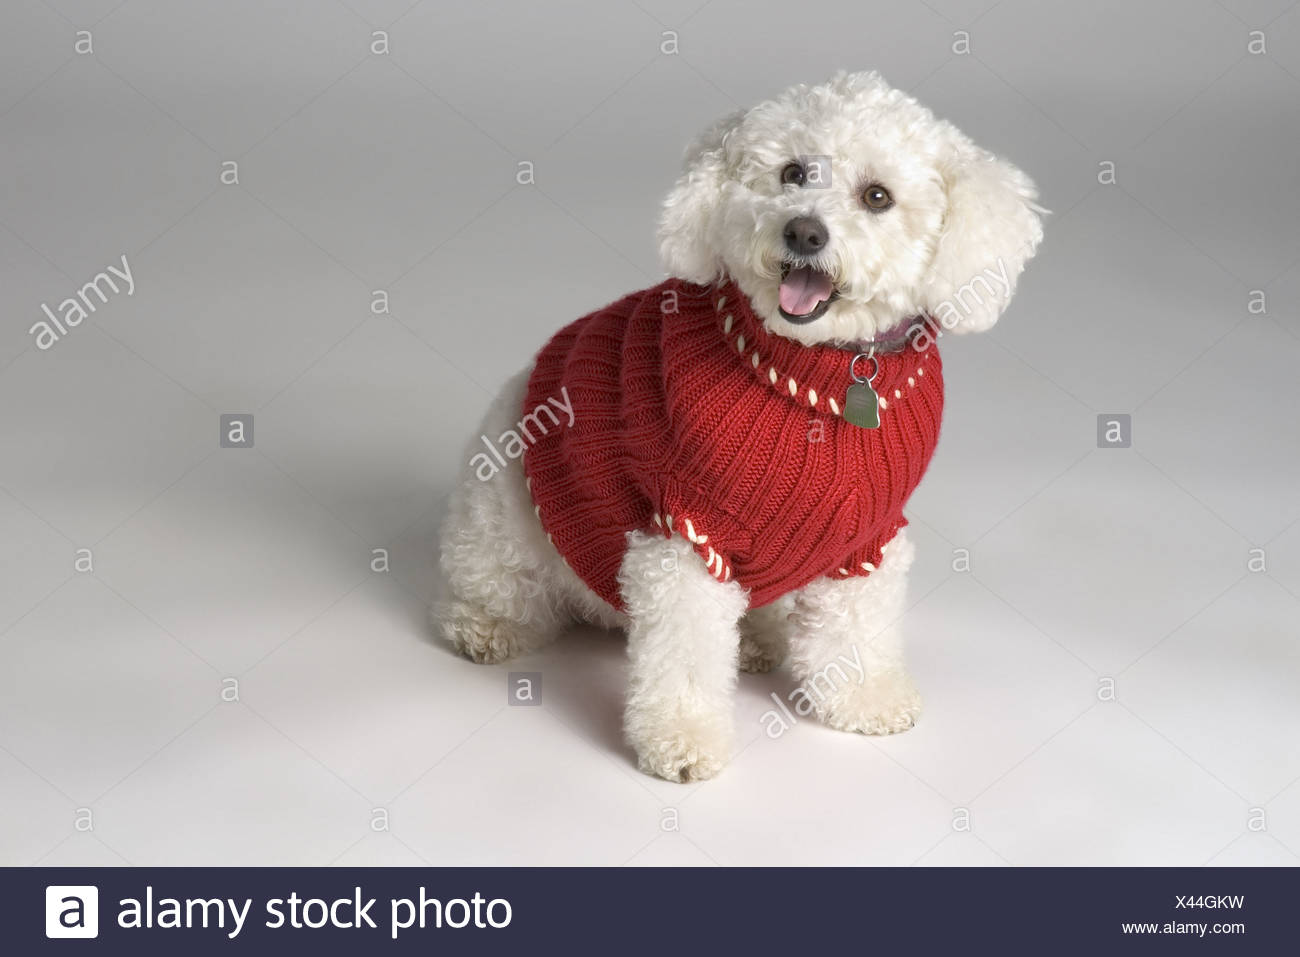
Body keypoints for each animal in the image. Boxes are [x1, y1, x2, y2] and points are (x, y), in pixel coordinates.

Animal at [436, 70, 1045, 780]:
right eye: (793, 173)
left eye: (877, 196)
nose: (804, 232)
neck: (826, 374)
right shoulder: (686, 537)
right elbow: (686, 659)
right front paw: (682, 737)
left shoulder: (867, 536)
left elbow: (858, 628)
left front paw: (865, 697)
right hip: (501, 522)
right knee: (494, 589)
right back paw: (484, 627)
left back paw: (758, 638)